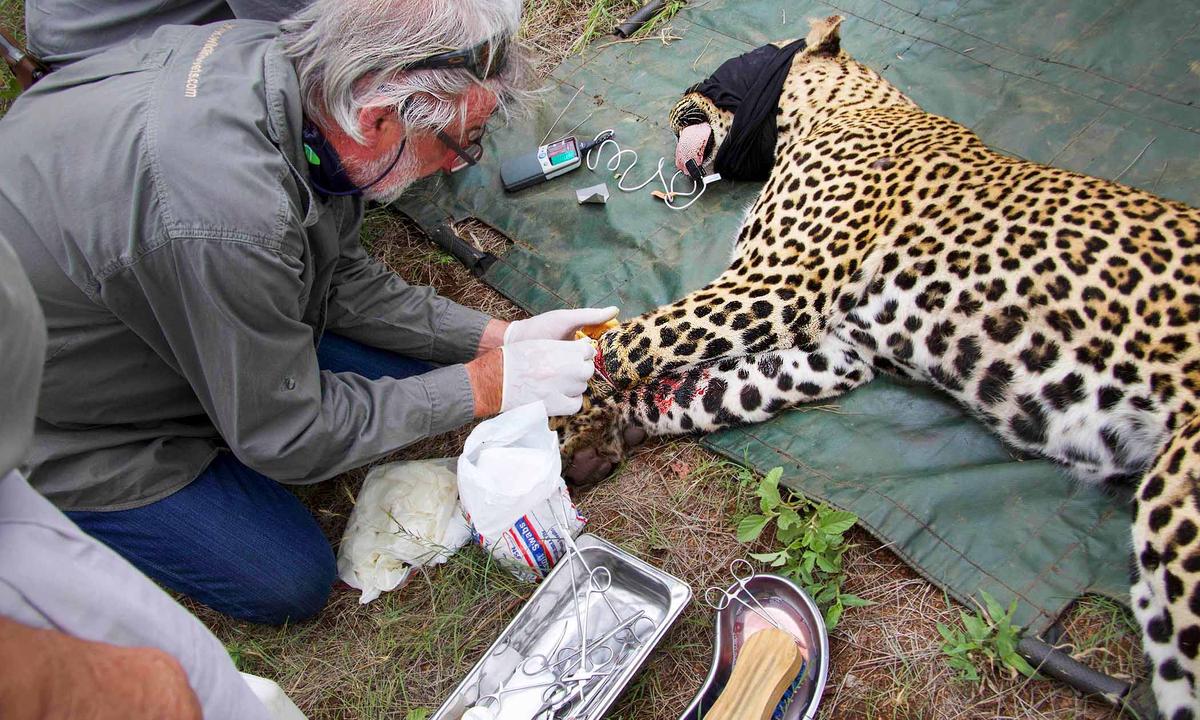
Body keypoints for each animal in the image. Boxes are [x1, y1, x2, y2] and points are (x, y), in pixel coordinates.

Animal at [555, 15, 1200, 719]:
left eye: (728, 67)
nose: (677, 99)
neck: (837, 109)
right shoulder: (837, 354)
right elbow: (710, 386)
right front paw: (597, 432)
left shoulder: (773, 285)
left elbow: (633, 340)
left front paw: (558, 405)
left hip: (1179, 523)